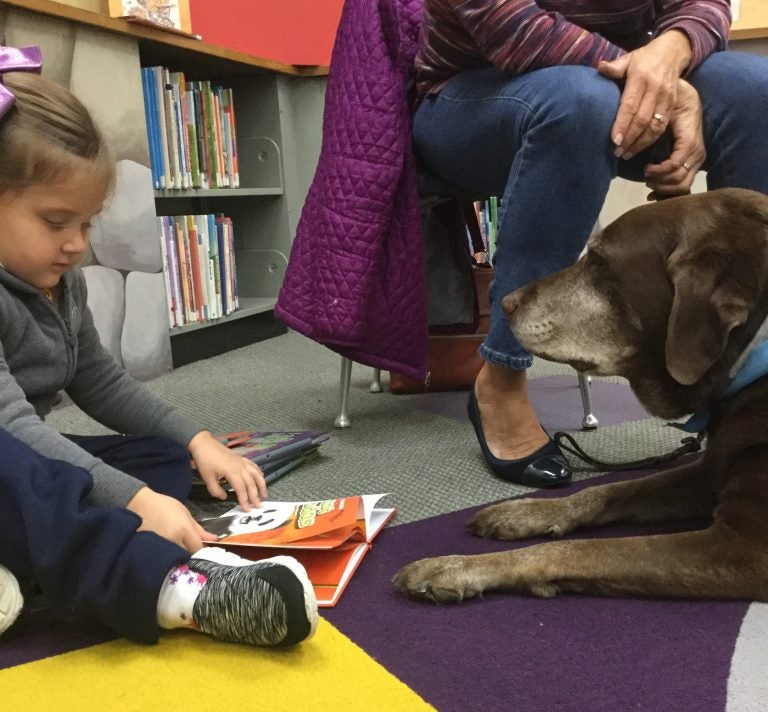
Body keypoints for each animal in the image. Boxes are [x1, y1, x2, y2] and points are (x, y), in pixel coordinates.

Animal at [392, 188, 768, 600]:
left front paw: (455, 567)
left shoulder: (743, 548)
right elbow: (605, 491)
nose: (505, 303)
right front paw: (522, 513)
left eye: (600, 262)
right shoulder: (707, 472)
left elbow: (577, 550)